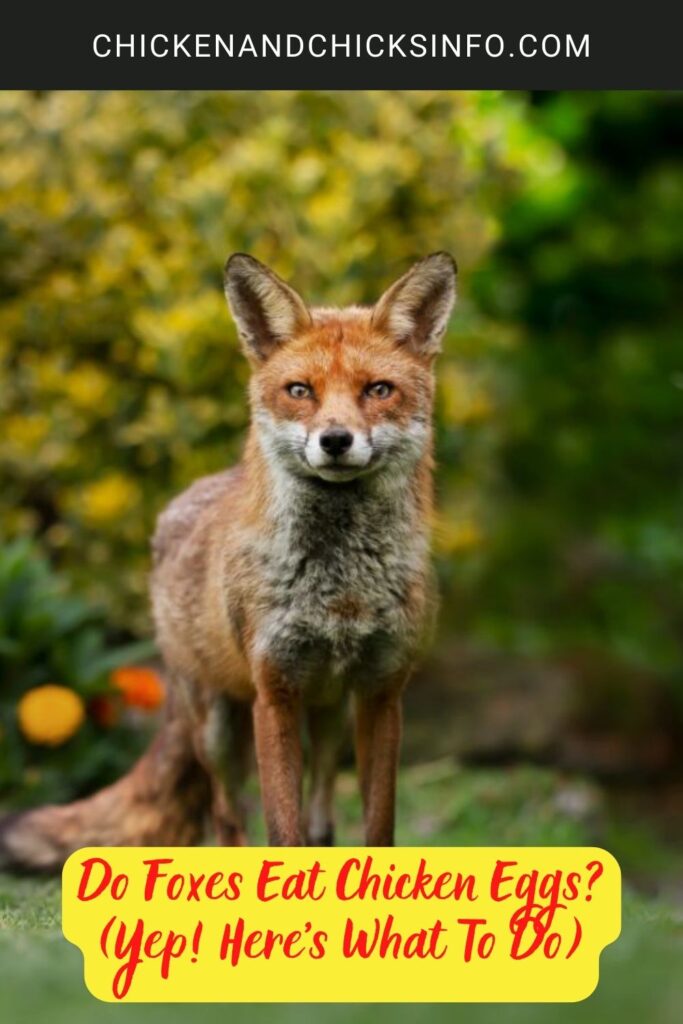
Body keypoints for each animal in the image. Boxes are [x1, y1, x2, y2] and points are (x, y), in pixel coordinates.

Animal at [0, 251, 457, 869]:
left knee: (320, 813)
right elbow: (281, 828)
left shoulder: (382, 692)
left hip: (330, 714)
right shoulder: (274, 692)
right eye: (300, 390)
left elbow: (375, 826)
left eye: (378, 390)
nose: (335, 440)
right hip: (216, 727)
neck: (340, 591)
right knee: (226, 815)